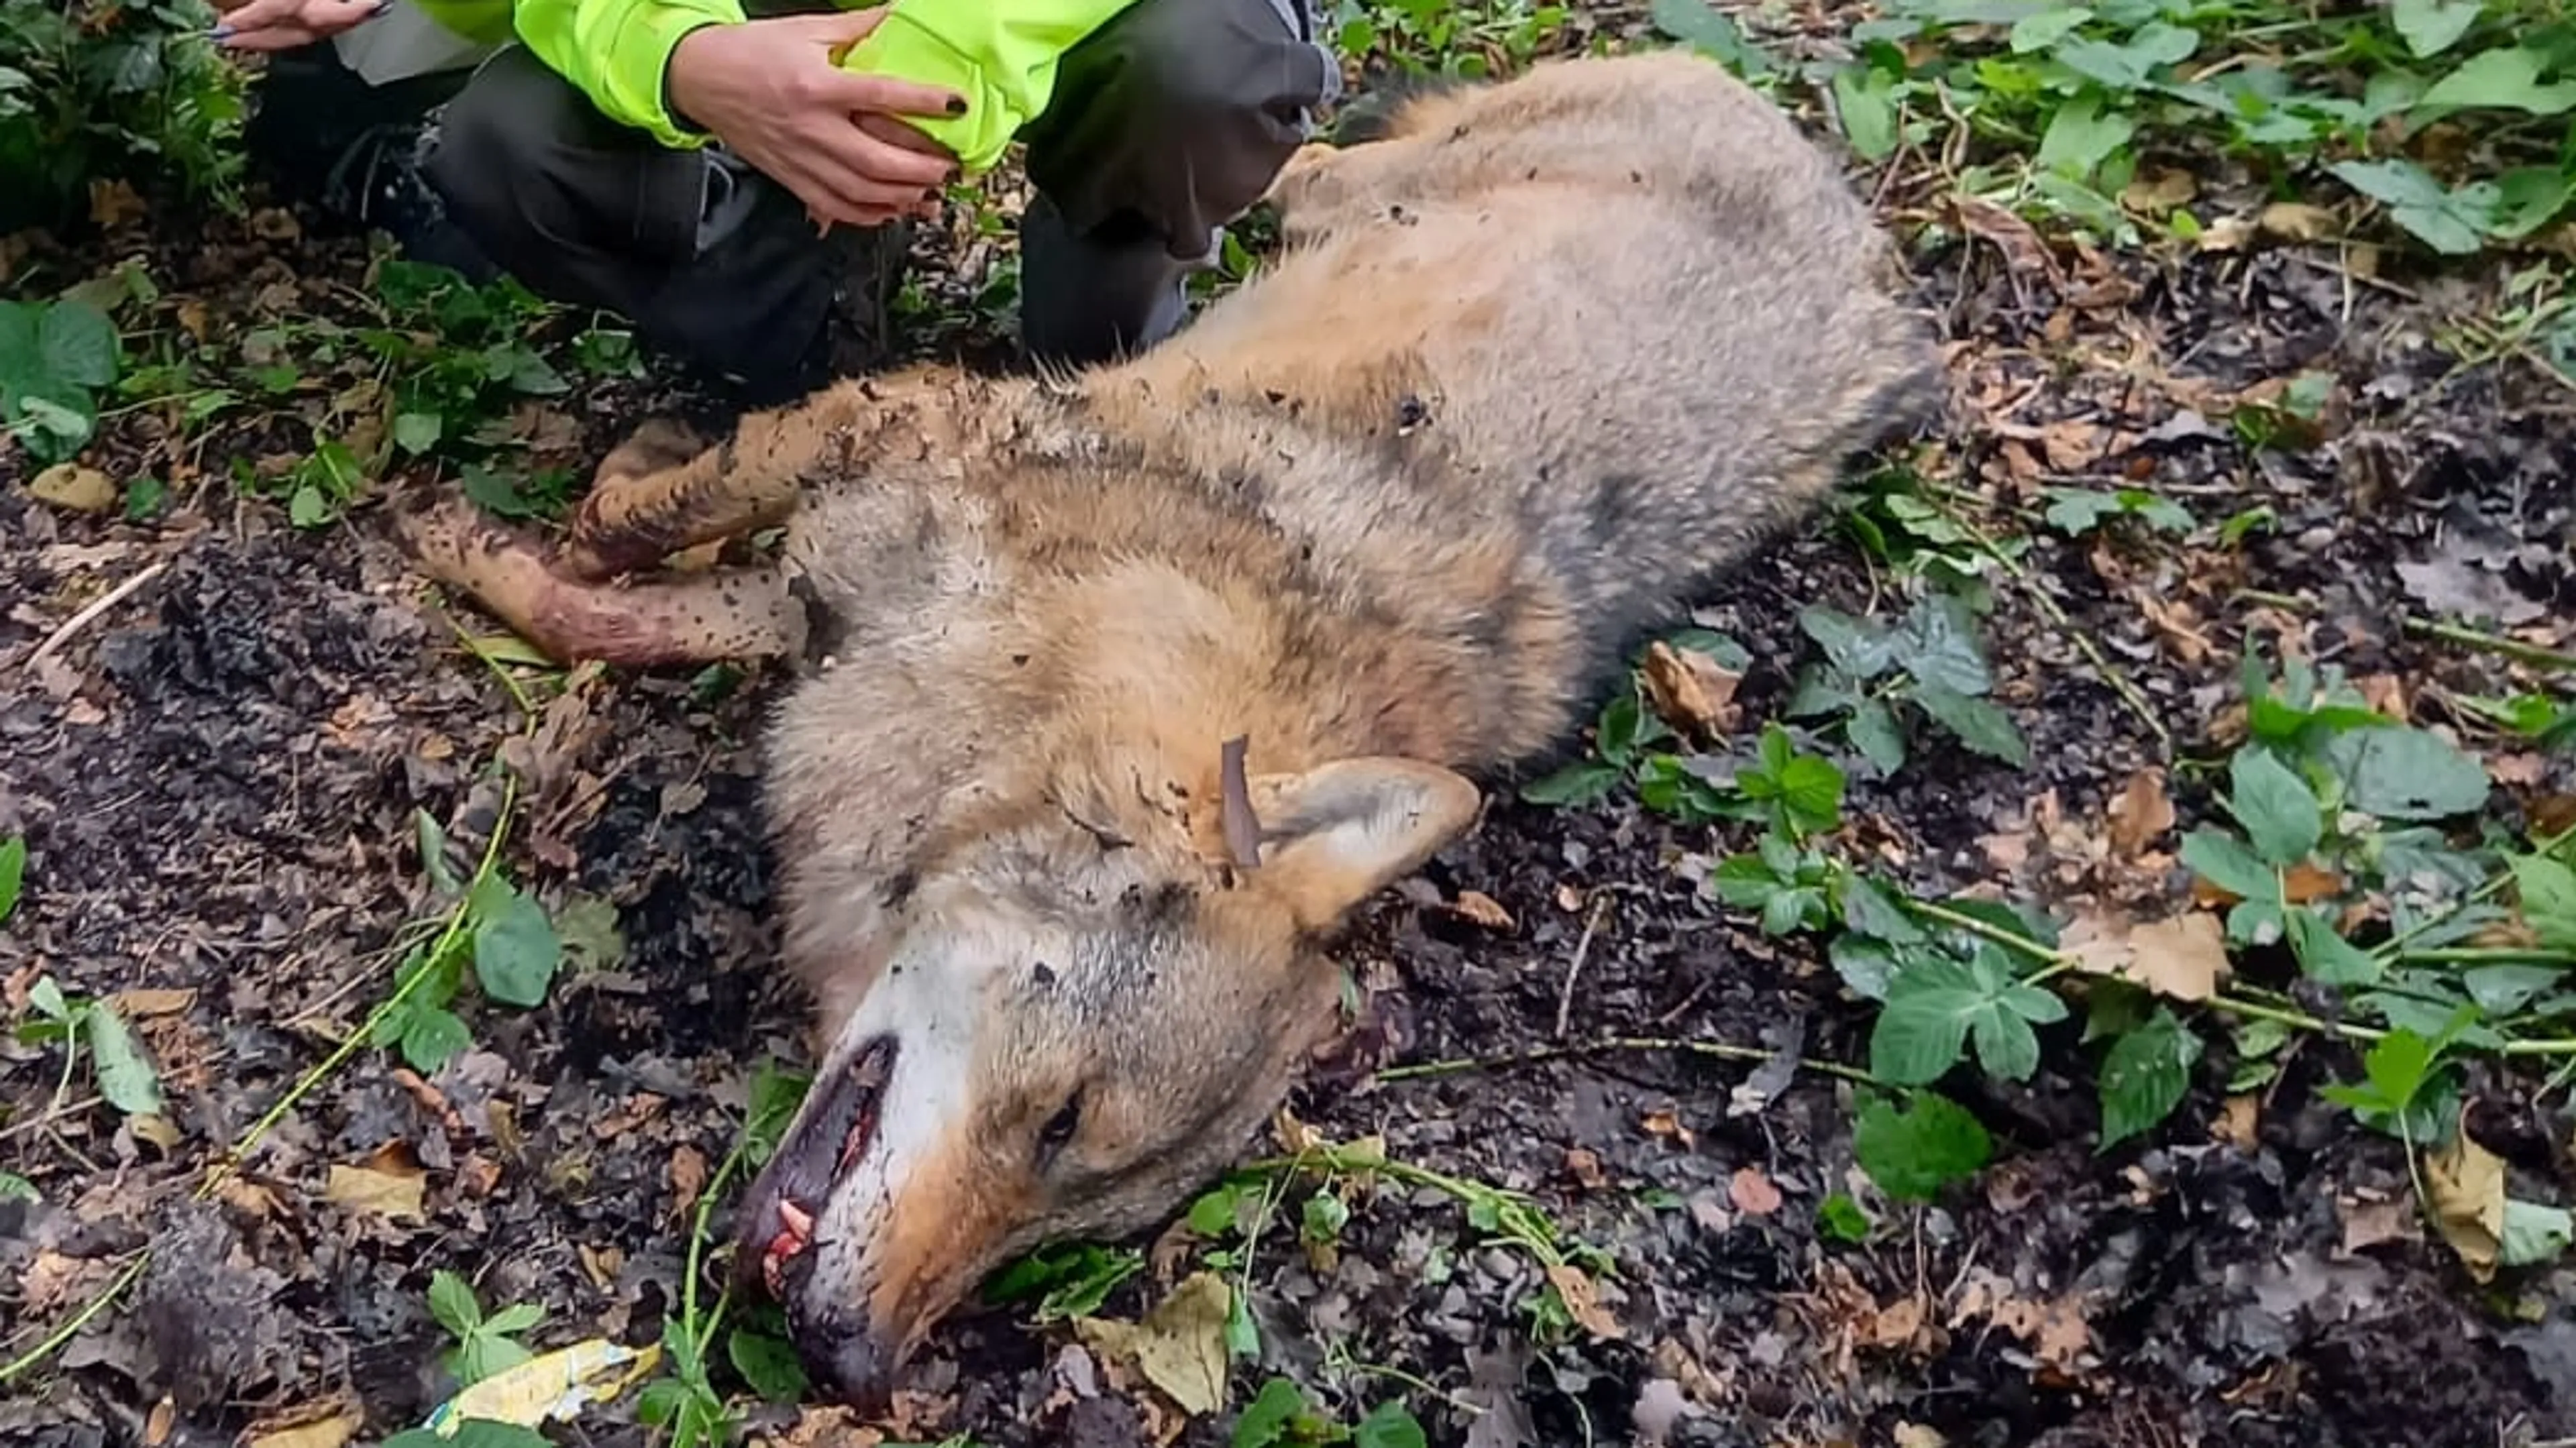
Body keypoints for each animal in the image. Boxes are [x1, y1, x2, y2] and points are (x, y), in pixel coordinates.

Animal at [390, 48, 1942, 1408]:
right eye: (1063, 1115)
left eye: (1069, 1208)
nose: (857, 1360)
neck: (1056, 686)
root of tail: (1851, 208)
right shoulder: (880, 448)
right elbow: (630, 541)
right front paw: (526, 522)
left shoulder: (828, 589)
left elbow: (616, 606)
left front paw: (509, 545)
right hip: (1356, 189)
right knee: (1306, 169)